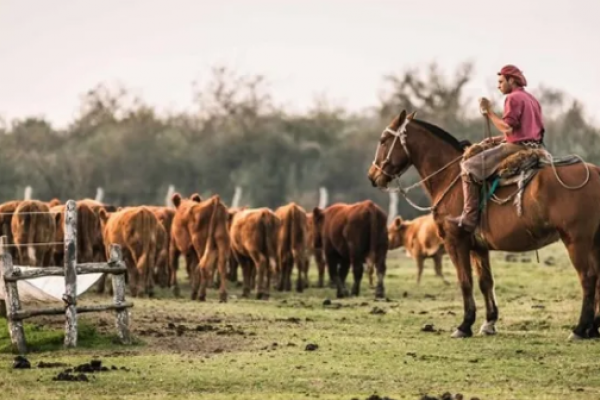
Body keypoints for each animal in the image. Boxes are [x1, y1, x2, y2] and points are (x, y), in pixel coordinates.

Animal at [368, 110, 600, 340]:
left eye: (383, 140)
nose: (372, 176)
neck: (450, 176)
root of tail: (596, 171)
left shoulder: (456, 242)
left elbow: (465, 282)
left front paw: (464, 325)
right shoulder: (478, 248)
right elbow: (485, 282)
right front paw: (489, 322)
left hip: (576, 241)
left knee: (588, 278)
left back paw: (580, 329)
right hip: (593, 243)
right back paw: (594, 328)